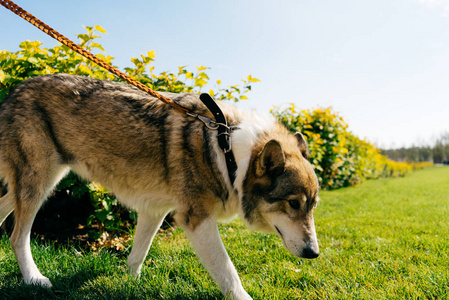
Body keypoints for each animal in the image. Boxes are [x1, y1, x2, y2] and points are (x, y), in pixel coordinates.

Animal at [0, 73, 318, 300]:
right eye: (293, 203)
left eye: (313, 206)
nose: (314, 253)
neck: (227, 149)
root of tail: (14, 91)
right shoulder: (196, 220)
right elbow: (229, 273)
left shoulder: (155, 211)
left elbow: (137, 255)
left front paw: (129, 283)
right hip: (39, 184)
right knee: (17, 237)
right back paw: (34, 279)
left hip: (32, 185)